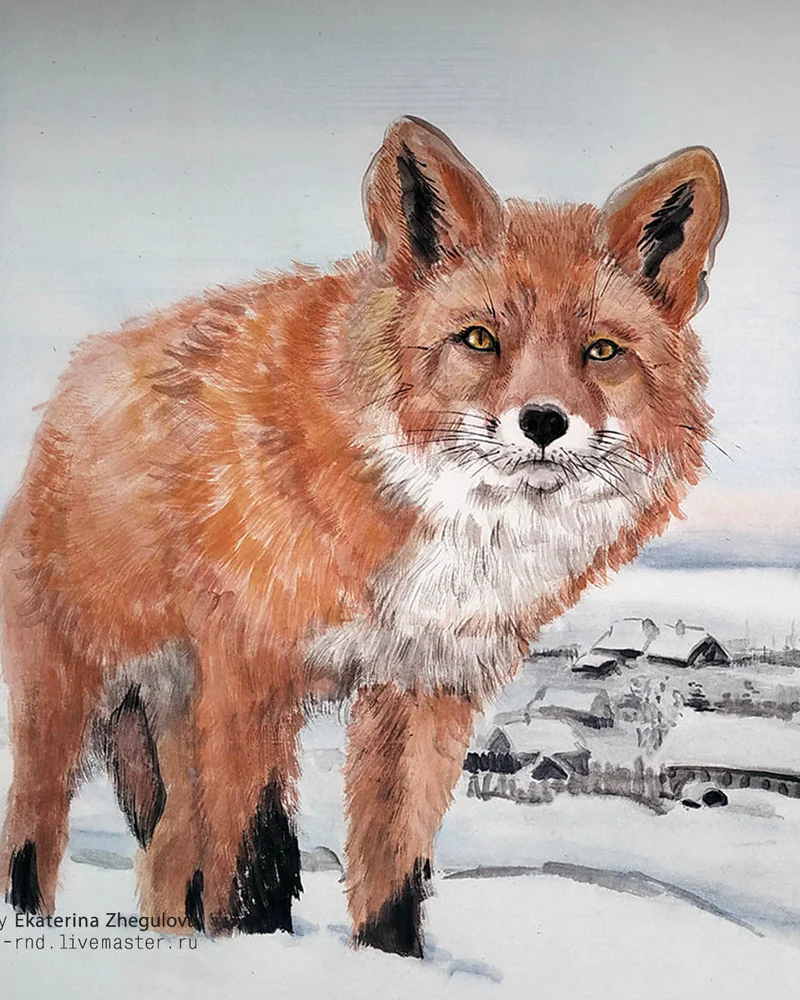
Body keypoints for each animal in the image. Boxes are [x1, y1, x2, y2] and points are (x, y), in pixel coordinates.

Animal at [0, 116, 727, 957]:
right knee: (33, 836)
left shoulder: (423, 686)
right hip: (68, 701)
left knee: (169, 857)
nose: (543, 421)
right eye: (480, 339)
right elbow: (256, 849)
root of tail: (68, 386)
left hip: (173, 715)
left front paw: (391, 964)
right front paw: (256, 947)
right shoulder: (253, 673)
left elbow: (394, 869)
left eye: (602, 351)